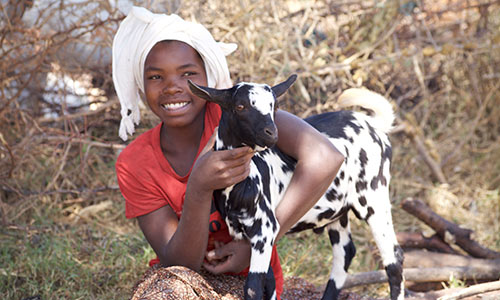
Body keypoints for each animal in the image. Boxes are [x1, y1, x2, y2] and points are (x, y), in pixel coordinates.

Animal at [189, 75, 404, 300]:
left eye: (274, 107)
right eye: (240, 106)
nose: (271, 133)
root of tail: (371, 124)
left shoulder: (265, 229)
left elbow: (253, 287)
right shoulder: (253, 238)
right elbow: (269, 283)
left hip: (374, 198)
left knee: (394, 259)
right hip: (338, 212)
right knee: (346, 253)